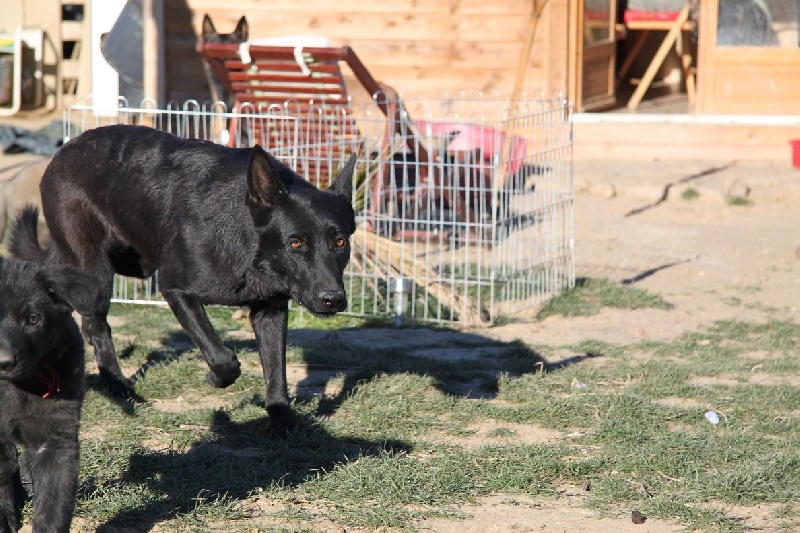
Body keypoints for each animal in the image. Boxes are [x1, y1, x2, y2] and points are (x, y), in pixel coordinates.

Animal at [11, 124, 356, 433]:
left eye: (340, 242)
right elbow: (222, 356)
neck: (246, 240)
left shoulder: (270, 309)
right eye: (295, 243)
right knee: (96, 328)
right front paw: (217, 378)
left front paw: (282, 419)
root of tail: (65, 149)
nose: (333, 300)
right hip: (95, 272)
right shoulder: (174, 288)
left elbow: (276, 371)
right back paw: (118, 385)